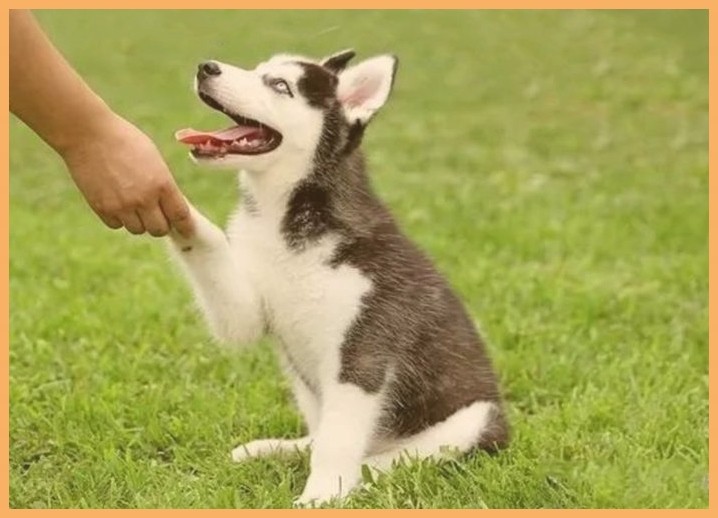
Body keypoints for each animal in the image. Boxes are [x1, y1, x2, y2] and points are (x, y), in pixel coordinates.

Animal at [169, 49, 510, 508]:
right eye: (259, 70)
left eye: (280, 85)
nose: (206, 67)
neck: (285, 221)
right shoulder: (246, 311)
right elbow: (217, 263)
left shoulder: (363, 351)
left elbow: (339, 440)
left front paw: (322, 494)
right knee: (320, 436)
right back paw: (279, 449)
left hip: (476, 419)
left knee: (391, 455)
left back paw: (363, 472)